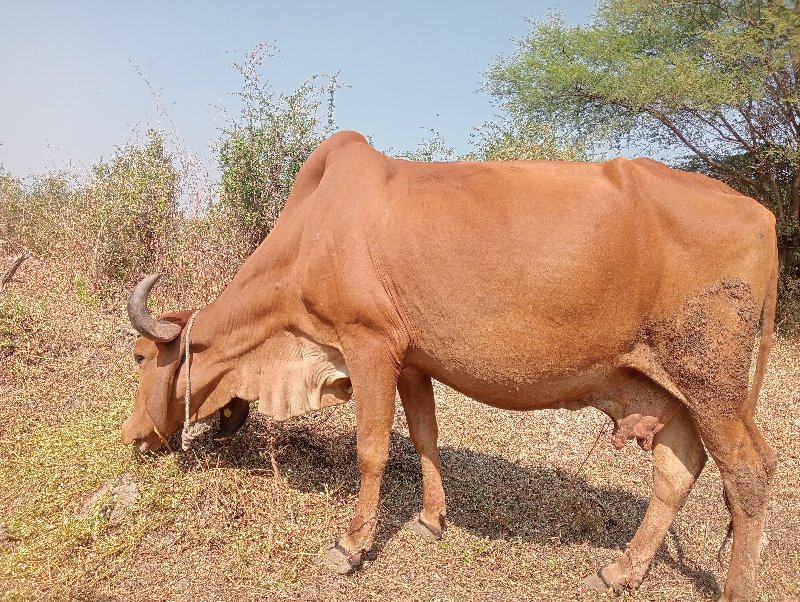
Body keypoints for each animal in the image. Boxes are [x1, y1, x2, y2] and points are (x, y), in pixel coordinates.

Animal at [122, 130, 780, 600]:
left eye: (139, 355)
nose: (133, 436)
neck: (312, 235)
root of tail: (761, 214)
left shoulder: (368, 345)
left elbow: (372, 448)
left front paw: (351, 545)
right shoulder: (412, 360)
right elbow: (424, 435)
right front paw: (430, 519)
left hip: (712, 384)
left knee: (748, 472)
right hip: (670, 387)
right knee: (679, 469)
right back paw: (620, 571)